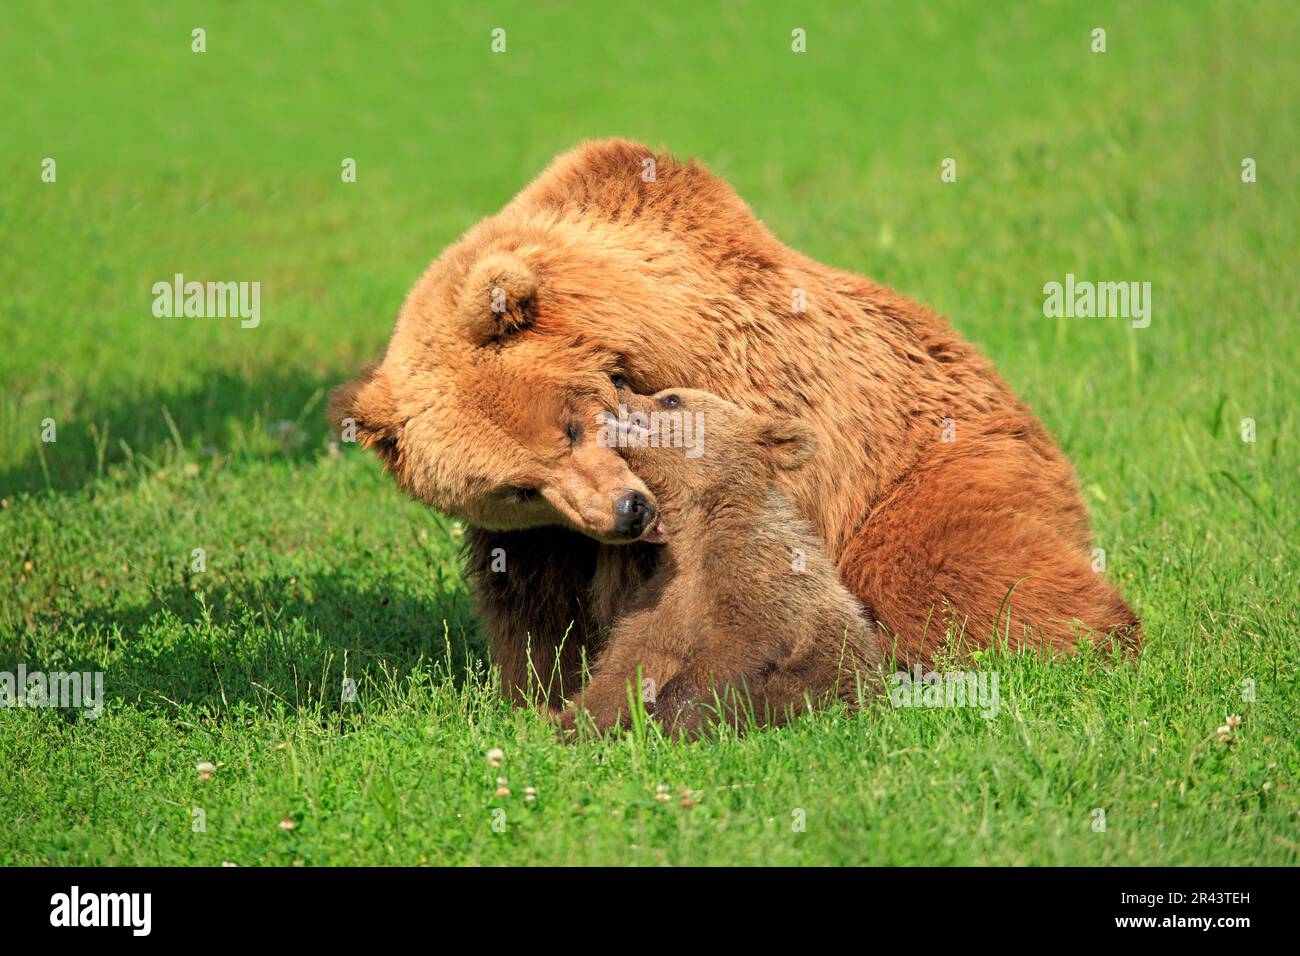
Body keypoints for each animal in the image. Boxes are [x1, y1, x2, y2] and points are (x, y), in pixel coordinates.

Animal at [564, 385, 878, 738]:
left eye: (671, 398)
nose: (619, 386)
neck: (694, 529)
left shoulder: (755, 575)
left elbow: (740, 646)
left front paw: (673, 717)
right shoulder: (662, 596)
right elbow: (628, 666)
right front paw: (570, 723)